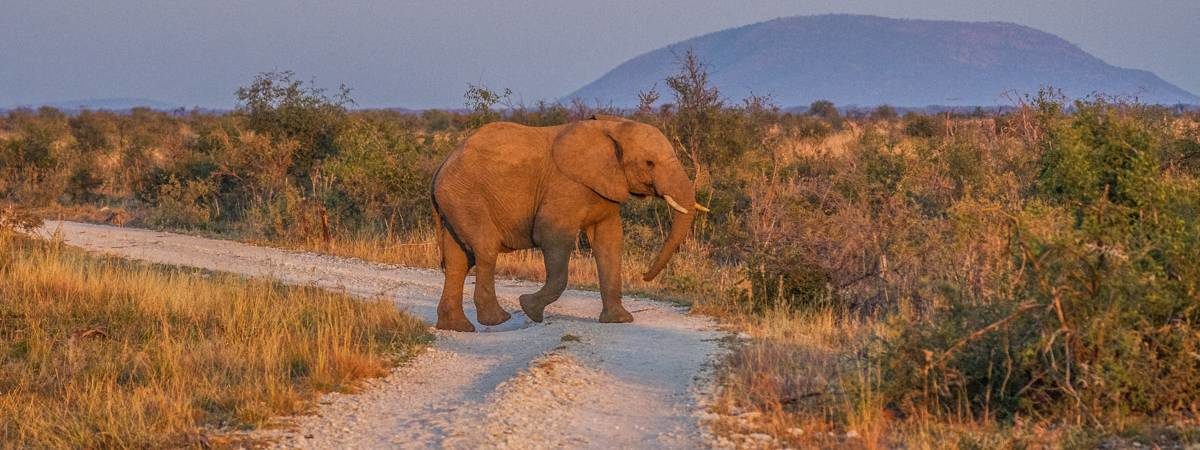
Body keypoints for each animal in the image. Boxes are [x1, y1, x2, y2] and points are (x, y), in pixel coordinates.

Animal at [429, 113, 700, 331]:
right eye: (649, 163)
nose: (644, 276)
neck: (612, 126)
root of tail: (441, 165)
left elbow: (609, 241)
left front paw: (620, 321)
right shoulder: (565, 186)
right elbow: (552, 237)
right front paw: (529, 308)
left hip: (455, 202)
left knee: (458, 261)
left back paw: (458, 327)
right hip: (465, 197)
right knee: (485, 249)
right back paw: (498, 320)